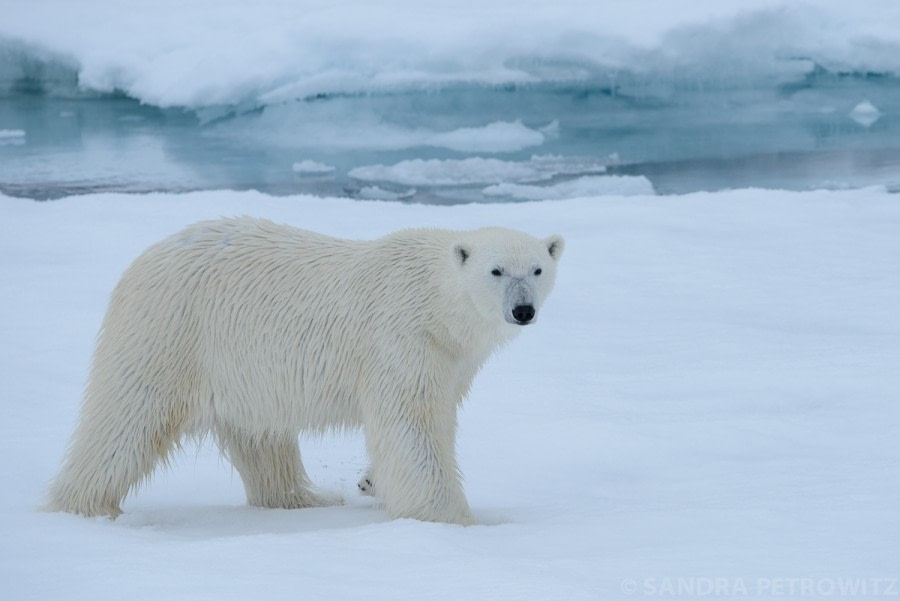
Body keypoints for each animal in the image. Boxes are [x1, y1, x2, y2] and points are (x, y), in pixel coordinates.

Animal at [47, 218, 564, 524]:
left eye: (537, 269)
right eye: (497, 271)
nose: (522, 311)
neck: (437, 301)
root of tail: (141, 261)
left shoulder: (453, 358)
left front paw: (371, 481)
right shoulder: (401, 335)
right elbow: (410, 424)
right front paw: (451, 516)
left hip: (238, 366)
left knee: (261, 436)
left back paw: (302, 498)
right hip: (172, 333)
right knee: (128, 417)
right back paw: (86, 506)